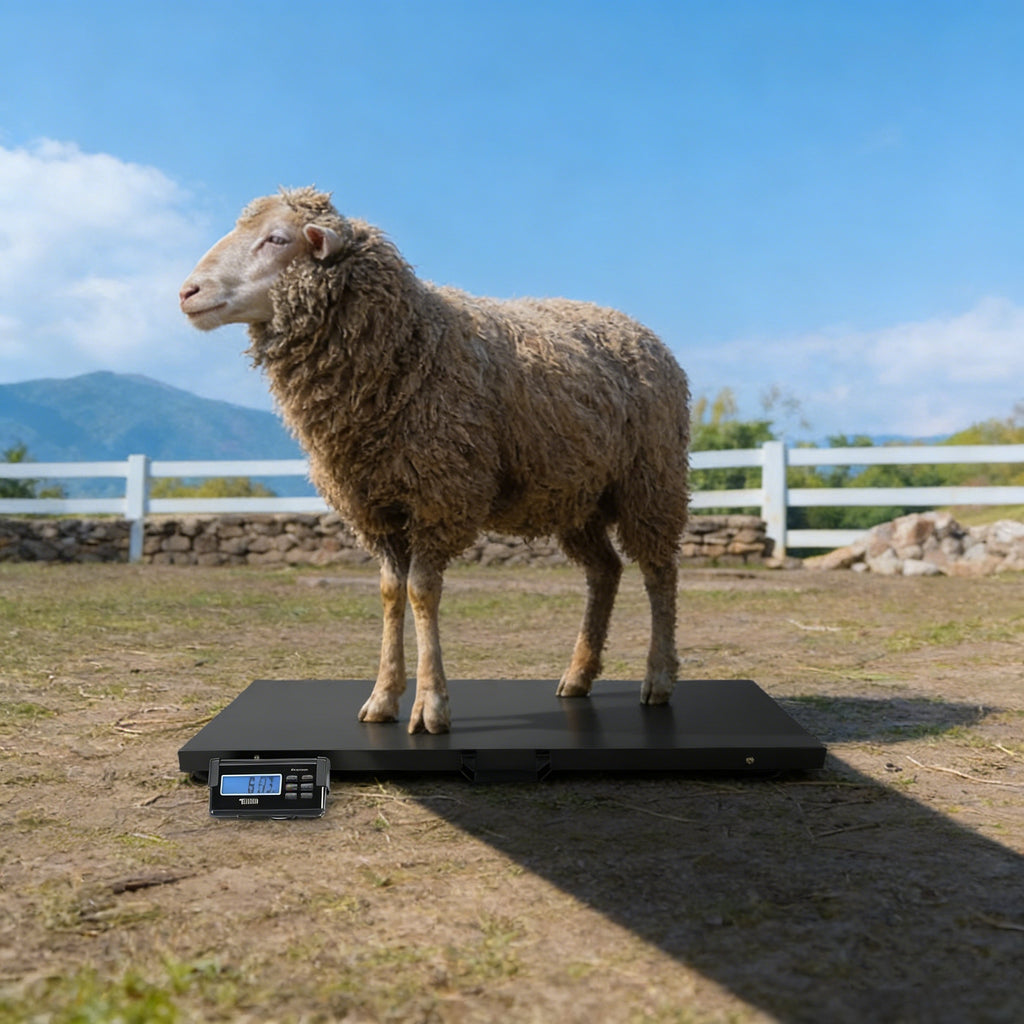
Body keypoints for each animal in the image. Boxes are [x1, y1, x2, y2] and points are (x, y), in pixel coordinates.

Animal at [179, 187, 690, 734]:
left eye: (277, 239)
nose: (187, 292)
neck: (410, 341)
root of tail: (637, 327)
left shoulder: (439, 494)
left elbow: (422, 591)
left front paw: (431, 705)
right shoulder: (375, 508)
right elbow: (390, 591)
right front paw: (383, 696)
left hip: (650, 480)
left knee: (659, 573)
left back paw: (659, 677)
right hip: (577, 497)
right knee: (605, 571)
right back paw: (577, 675)